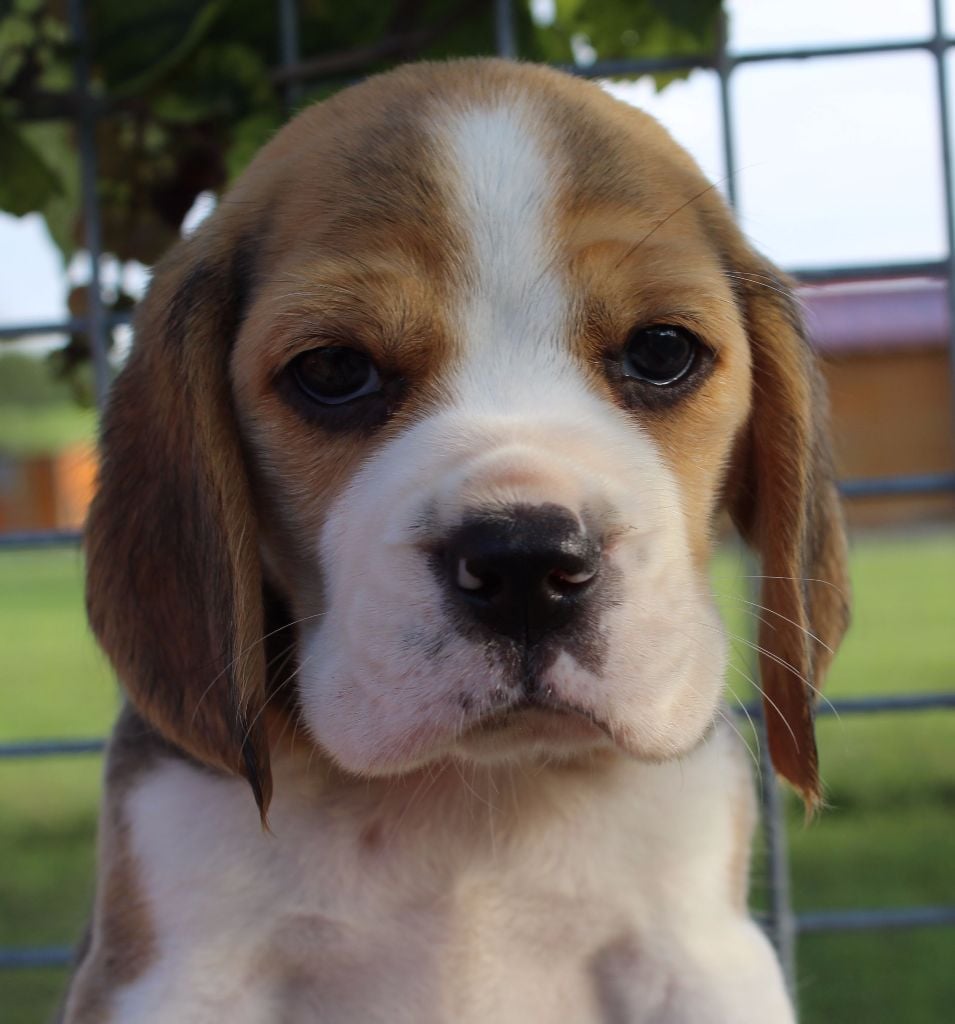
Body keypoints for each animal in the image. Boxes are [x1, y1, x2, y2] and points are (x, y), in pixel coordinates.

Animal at [63, 59, 847, 1019]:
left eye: (662, 351)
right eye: (333, 370)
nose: (526, 565)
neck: (475, 800)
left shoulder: (701, 960)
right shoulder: (176, 972)